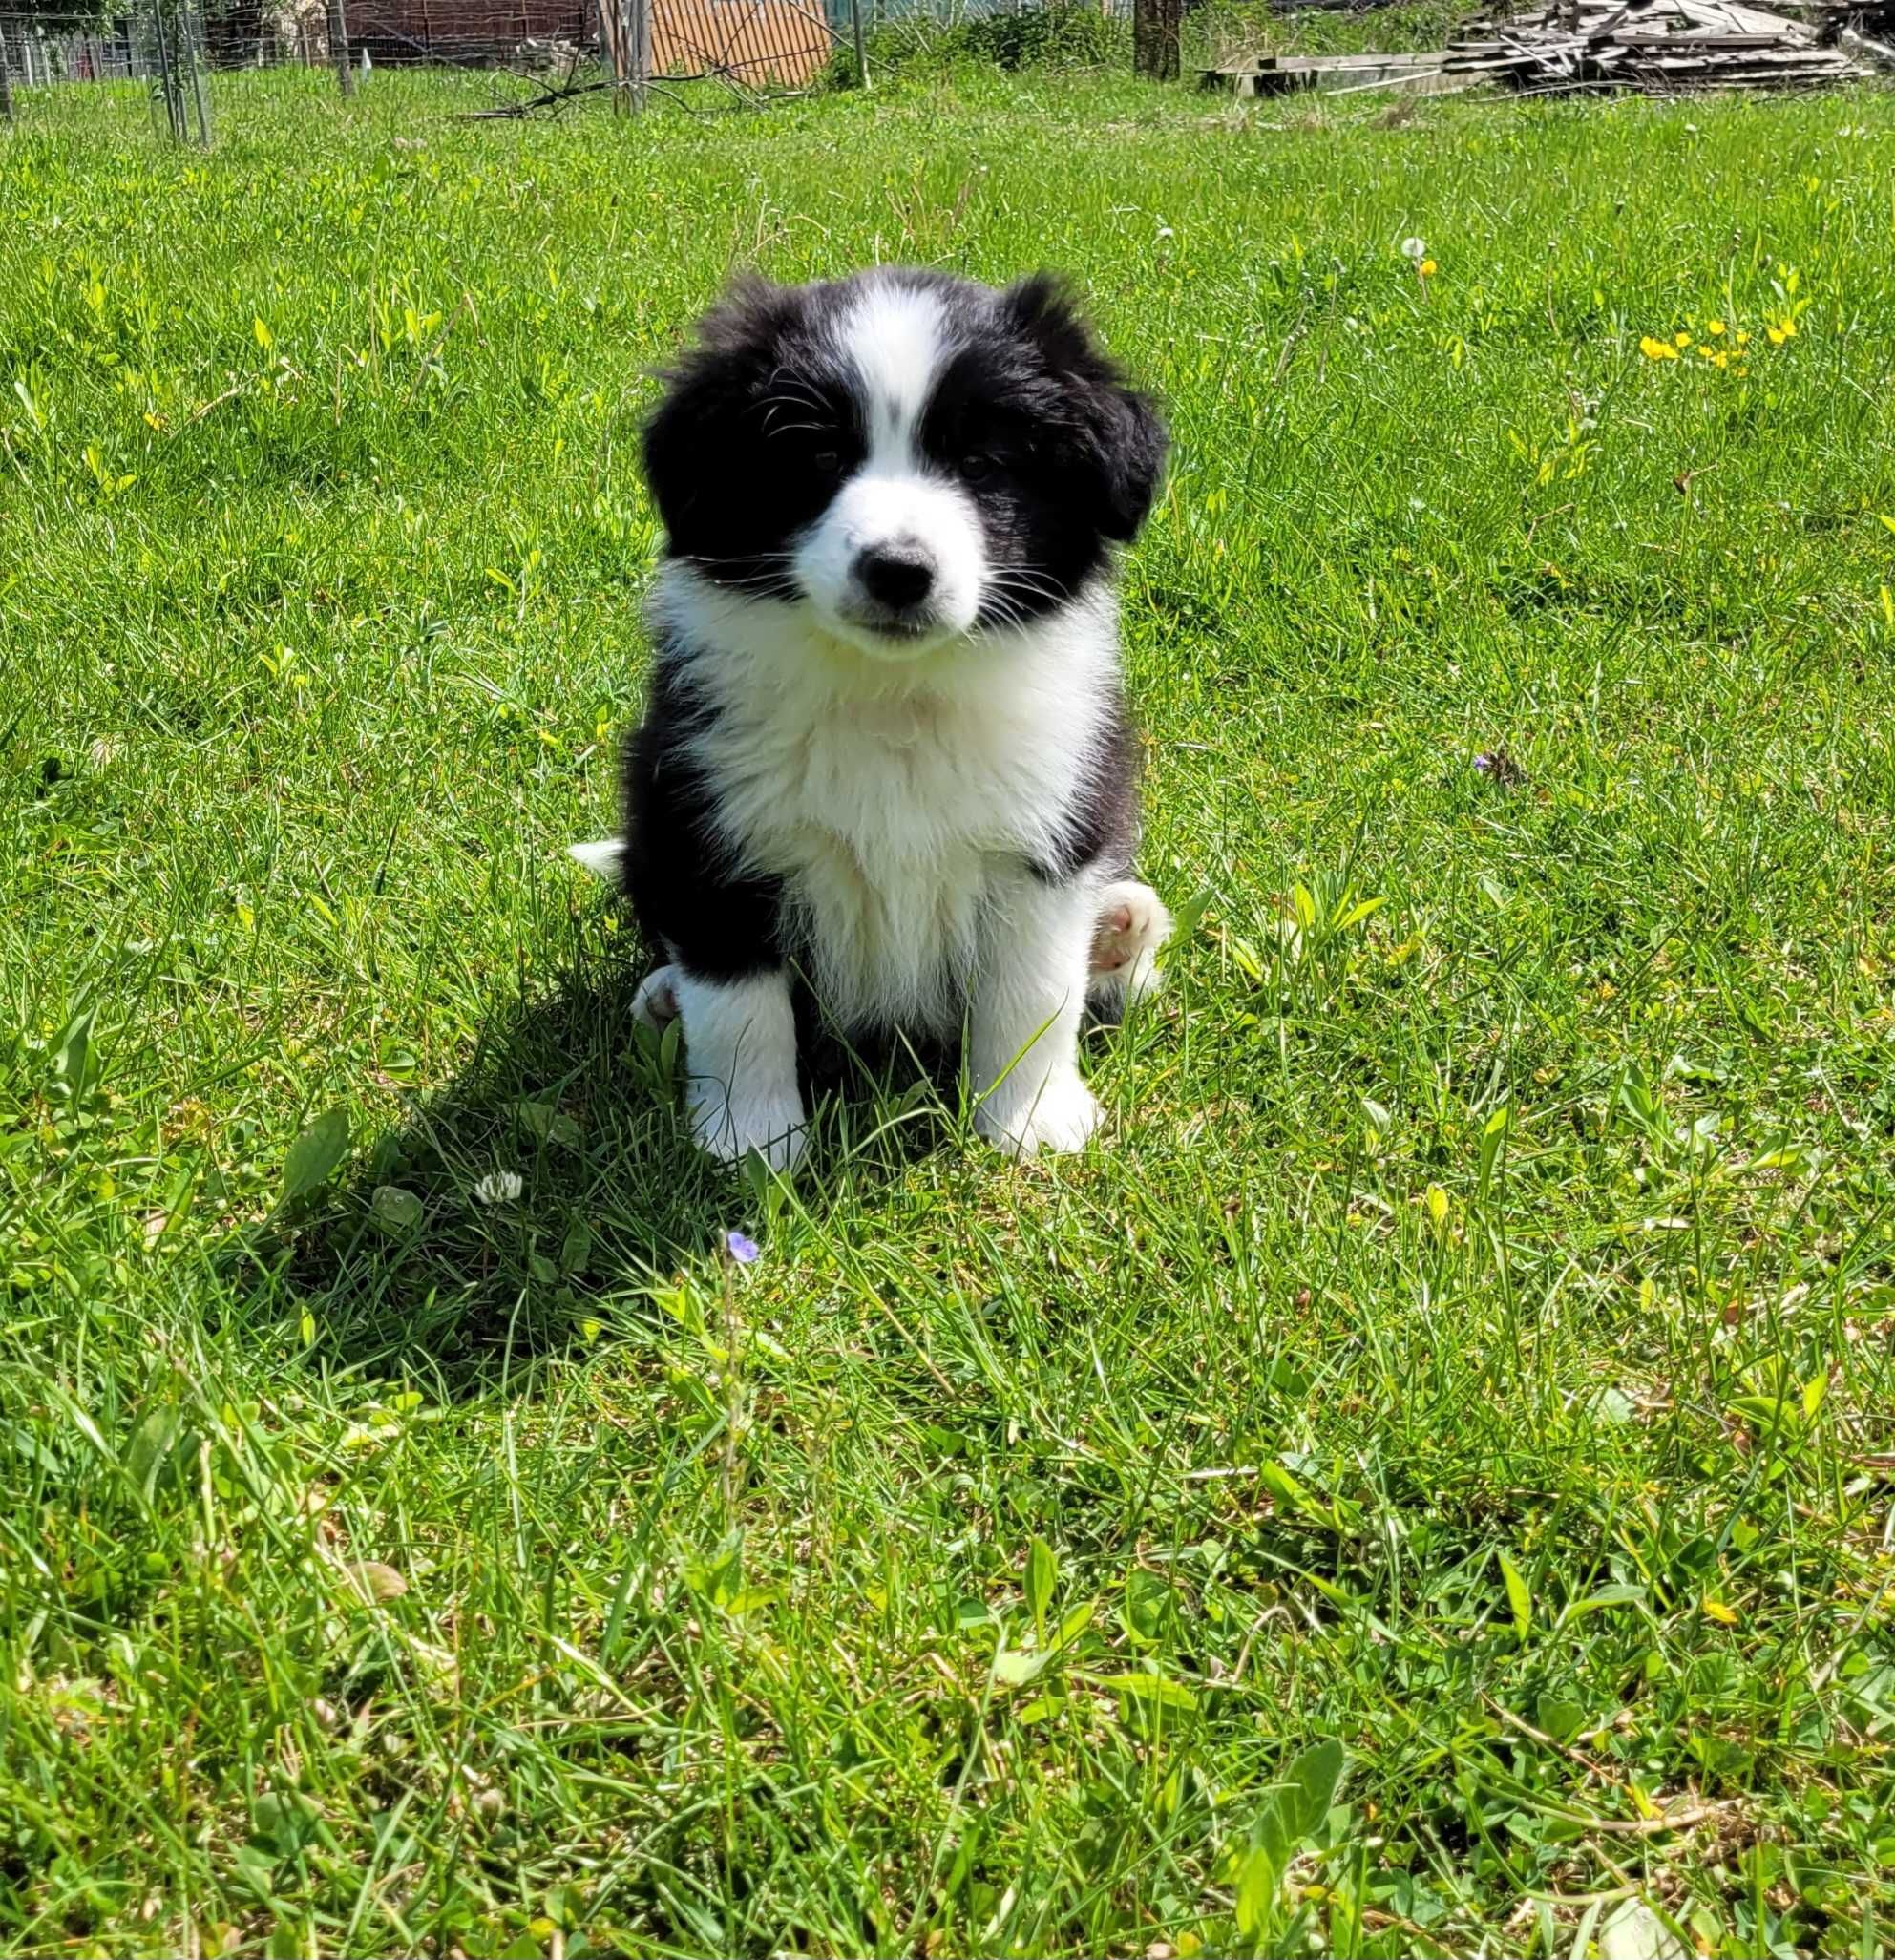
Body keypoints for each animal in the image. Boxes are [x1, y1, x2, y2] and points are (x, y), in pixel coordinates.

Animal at [572, 268, 1168, 1168]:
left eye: (982, 461)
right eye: (819, 456)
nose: (898, 569)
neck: (893, 693)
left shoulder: (1044, 834)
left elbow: (1030, 992)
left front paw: (1026, 1120)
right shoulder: (712, 827)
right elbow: (739, 1006)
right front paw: (753, 1140)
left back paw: (1120, 933)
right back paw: (664, 999)